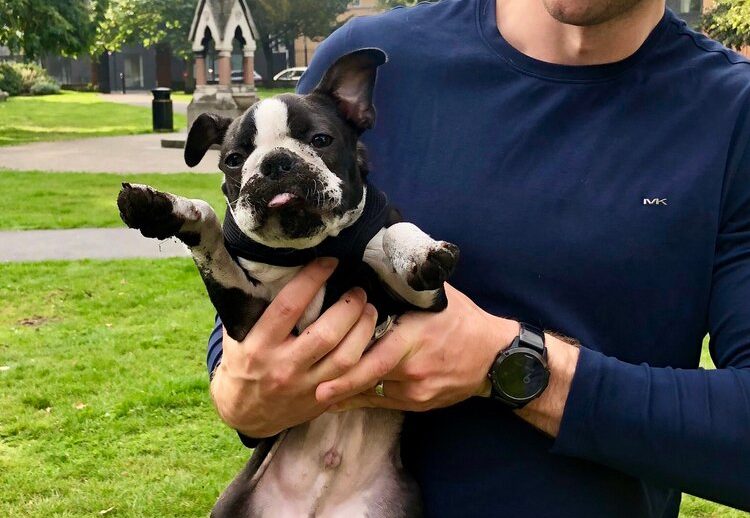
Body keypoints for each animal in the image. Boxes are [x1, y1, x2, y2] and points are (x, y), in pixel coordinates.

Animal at [117, 47, 462, 516]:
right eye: (233, 160)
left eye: (320, 140)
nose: (276, 162)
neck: (310, 248)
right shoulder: (247, 316)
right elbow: (208, 223)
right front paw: (164, 206)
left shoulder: (427, 303)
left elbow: (385, 235)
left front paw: (414, 250)